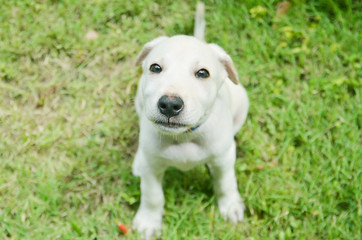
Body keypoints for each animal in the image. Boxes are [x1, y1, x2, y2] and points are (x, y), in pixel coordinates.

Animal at [132, 1, 249, 238]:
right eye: (155, 67)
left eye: (203, 73)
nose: (169, 104)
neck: (184, 137)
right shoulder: (151, 167)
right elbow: (152, 194)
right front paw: (149, 221)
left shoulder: (224, 158)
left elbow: (225, 181)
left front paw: (231, 205)